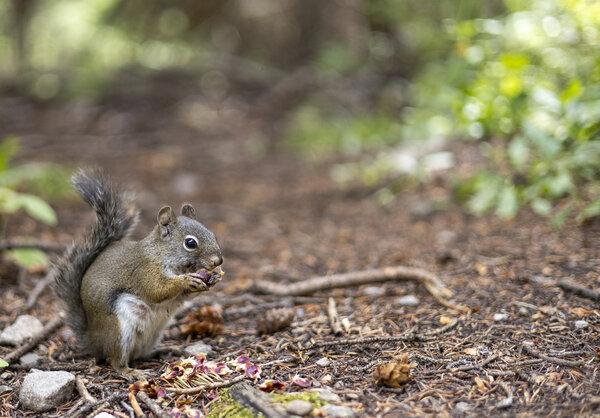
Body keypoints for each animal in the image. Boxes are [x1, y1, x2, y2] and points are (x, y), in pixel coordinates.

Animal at [52, 170, 223, 376]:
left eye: (213, 235)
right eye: (190, 243)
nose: (218, 261)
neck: (165, 256)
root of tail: (94, 341)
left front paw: (214, 278)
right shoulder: (144, 270)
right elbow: (156, 290)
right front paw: (186, 280)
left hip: (153, 334)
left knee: (141, 353)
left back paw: (165, 349)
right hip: (118, 331)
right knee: (116, 361)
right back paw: (132, 372)